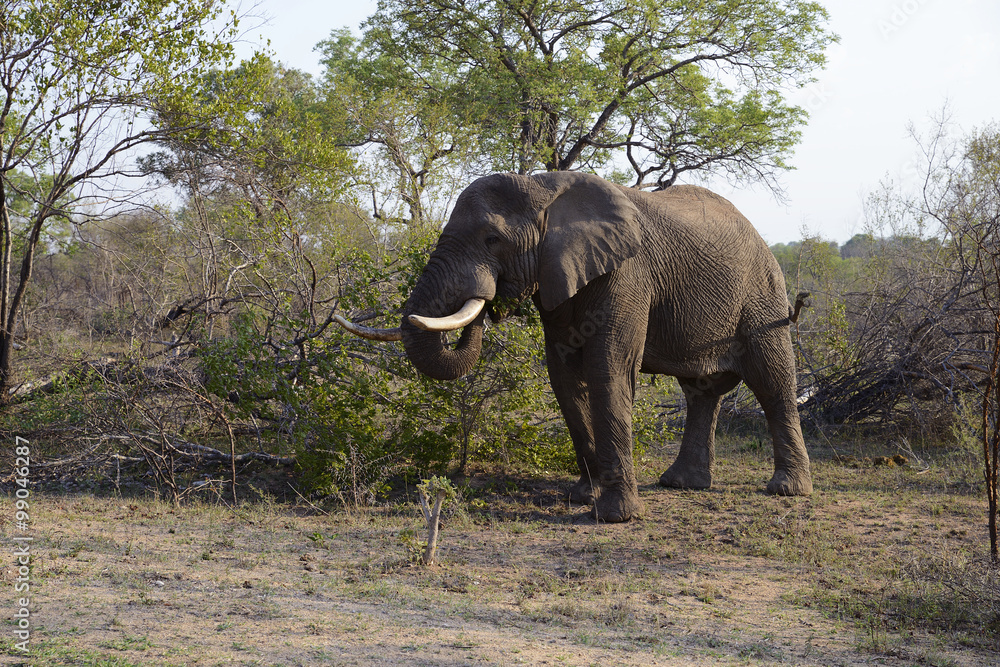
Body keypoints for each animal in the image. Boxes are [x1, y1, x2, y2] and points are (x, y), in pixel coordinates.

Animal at [336, 171, 812, 522]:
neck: (545, 189)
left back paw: (786, 489)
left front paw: (615, 516)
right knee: (702, 392)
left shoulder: (626, 273)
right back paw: (681, 483)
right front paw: (584, 495)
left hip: (762, 293)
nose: (488, 302)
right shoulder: (558, 275)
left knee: (772, 381)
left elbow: (608, 370)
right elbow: (564, 376)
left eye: (493, 239)